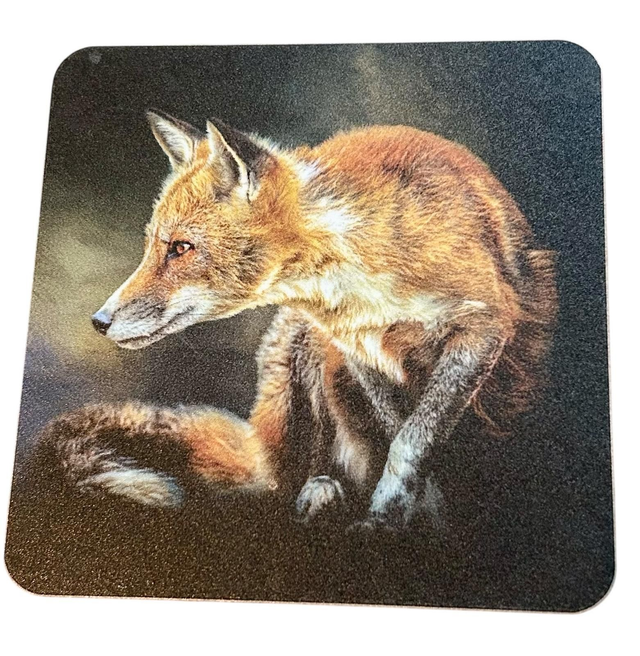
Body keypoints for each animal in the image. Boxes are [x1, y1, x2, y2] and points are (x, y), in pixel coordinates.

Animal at [36, 110, 557, 531]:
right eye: (151, 245)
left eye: (181, 248)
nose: (99, 320)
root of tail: (257, 444)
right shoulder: (357, 352)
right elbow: (399, 436)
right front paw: (407, 516)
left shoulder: (483, 329)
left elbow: (412, 441)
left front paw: (397, 516)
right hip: (302, 353)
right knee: (286, 483)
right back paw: (319, 495)